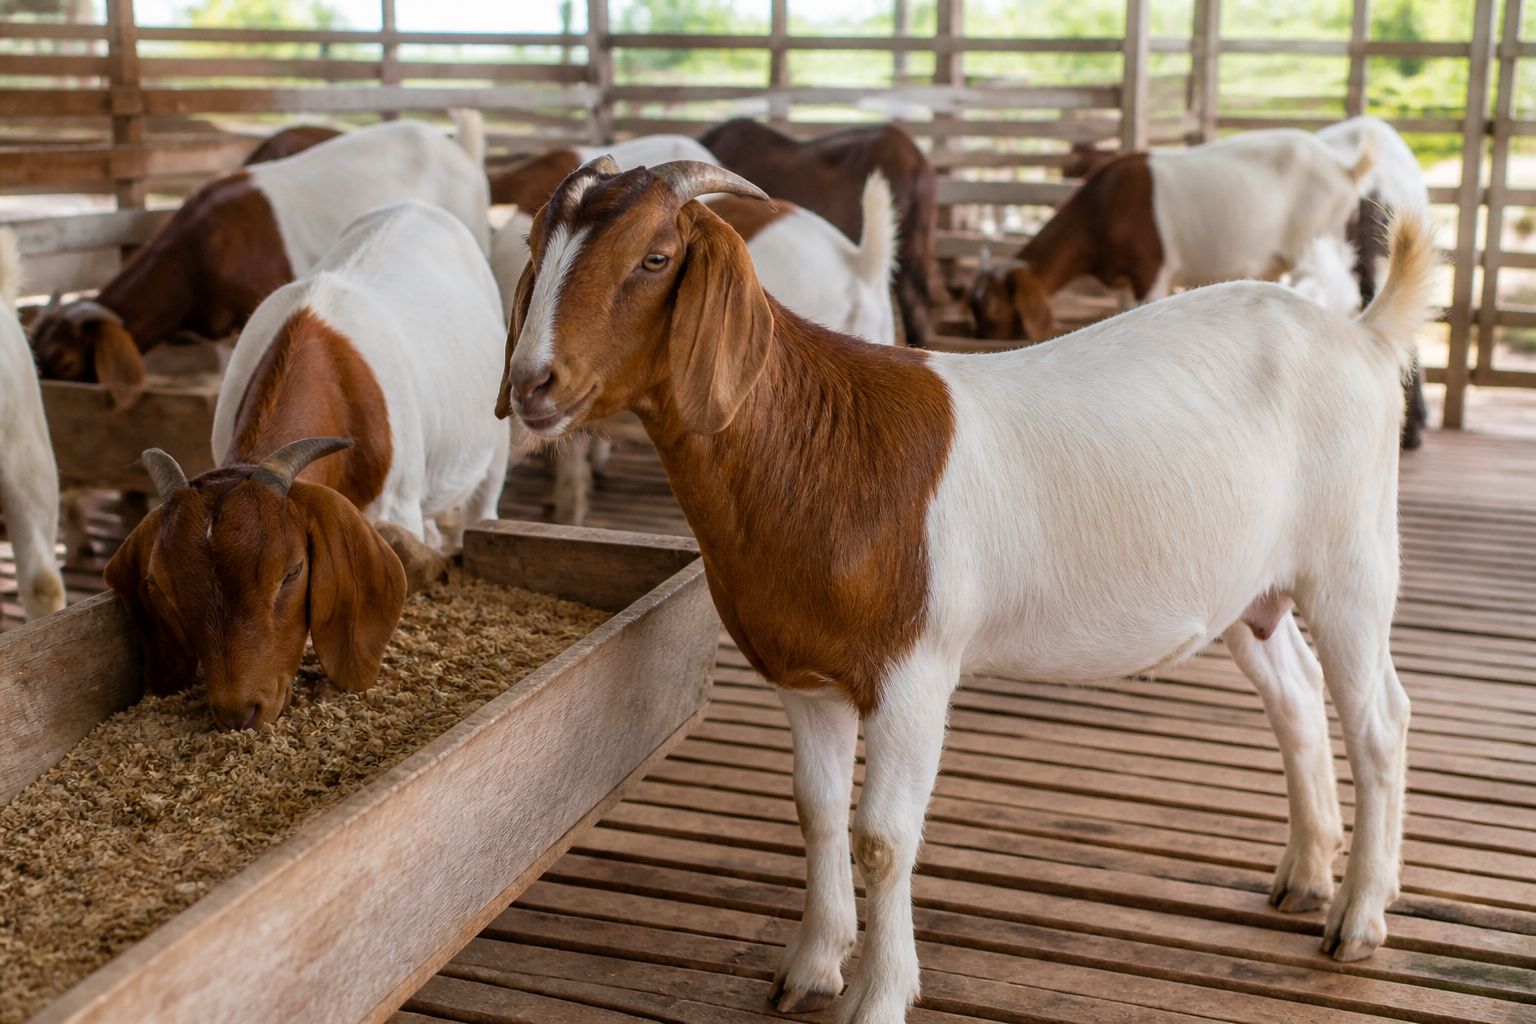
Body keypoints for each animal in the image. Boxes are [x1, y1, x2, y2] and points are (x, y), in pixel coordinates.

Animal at [105, 201, 511, 732]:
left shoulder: (397, 505)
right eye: (162, 587)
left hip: (496, 439)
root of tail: (415, 206)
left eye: (292, 571)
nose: (240, 711)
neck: (333, 373)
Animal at [498, 157, 1435, 1022]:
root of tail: (1363, 335)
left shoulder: (915, 670)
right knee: (1297, 696)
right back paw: (1305, 875)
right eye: (536, 248)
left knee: (1379, 719)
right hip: (1251, 590)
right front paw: (810, 968)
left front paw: (877, 994)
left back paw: (1359, 917)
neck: (817, 444)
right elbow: (815, 811)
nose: (532, 383)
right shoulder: (806, 676)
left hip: (1352, 562)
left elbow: (882, 837)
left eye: (655, 257)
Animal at [968, 128, 1375, 343]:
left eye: (994, 310)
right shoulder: (1123, 281)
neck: (1101, 208)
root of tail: (1344, 169)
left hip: (1316, 236)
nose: (981, 340)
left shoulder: (1151, 270)